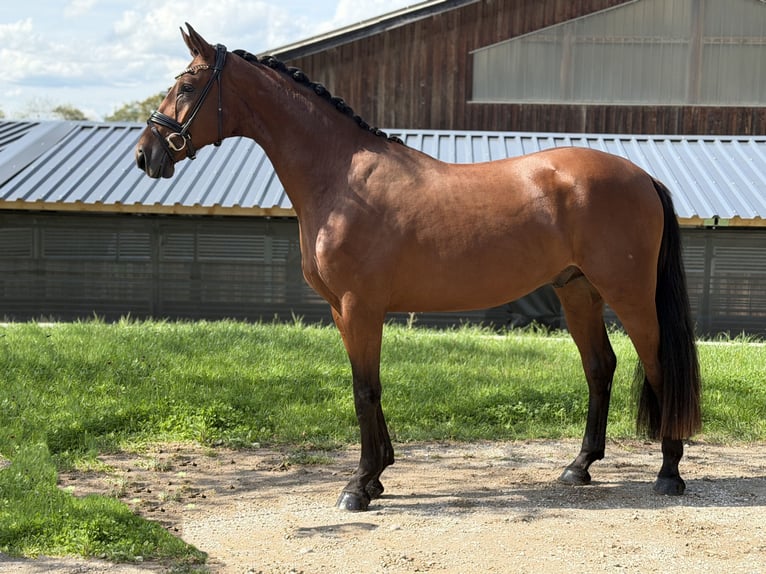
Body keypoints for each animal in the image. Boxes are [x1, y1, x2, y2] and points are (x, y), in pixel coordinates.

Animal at [135, 24, 701, 511]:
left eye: (187, 85)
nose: (146, 154)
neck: (342, 178)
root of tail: (643, 177)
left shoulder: (360, 307)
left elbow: (364, 391)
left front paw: (359, 486)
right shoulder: (343, 311)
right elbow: (368, 387)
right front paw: (378, 474)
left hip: (628, 294)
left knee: (657, 365)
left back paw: (668, 473)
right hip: (577, 291)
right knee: (599, 367)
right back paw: (579, 467)